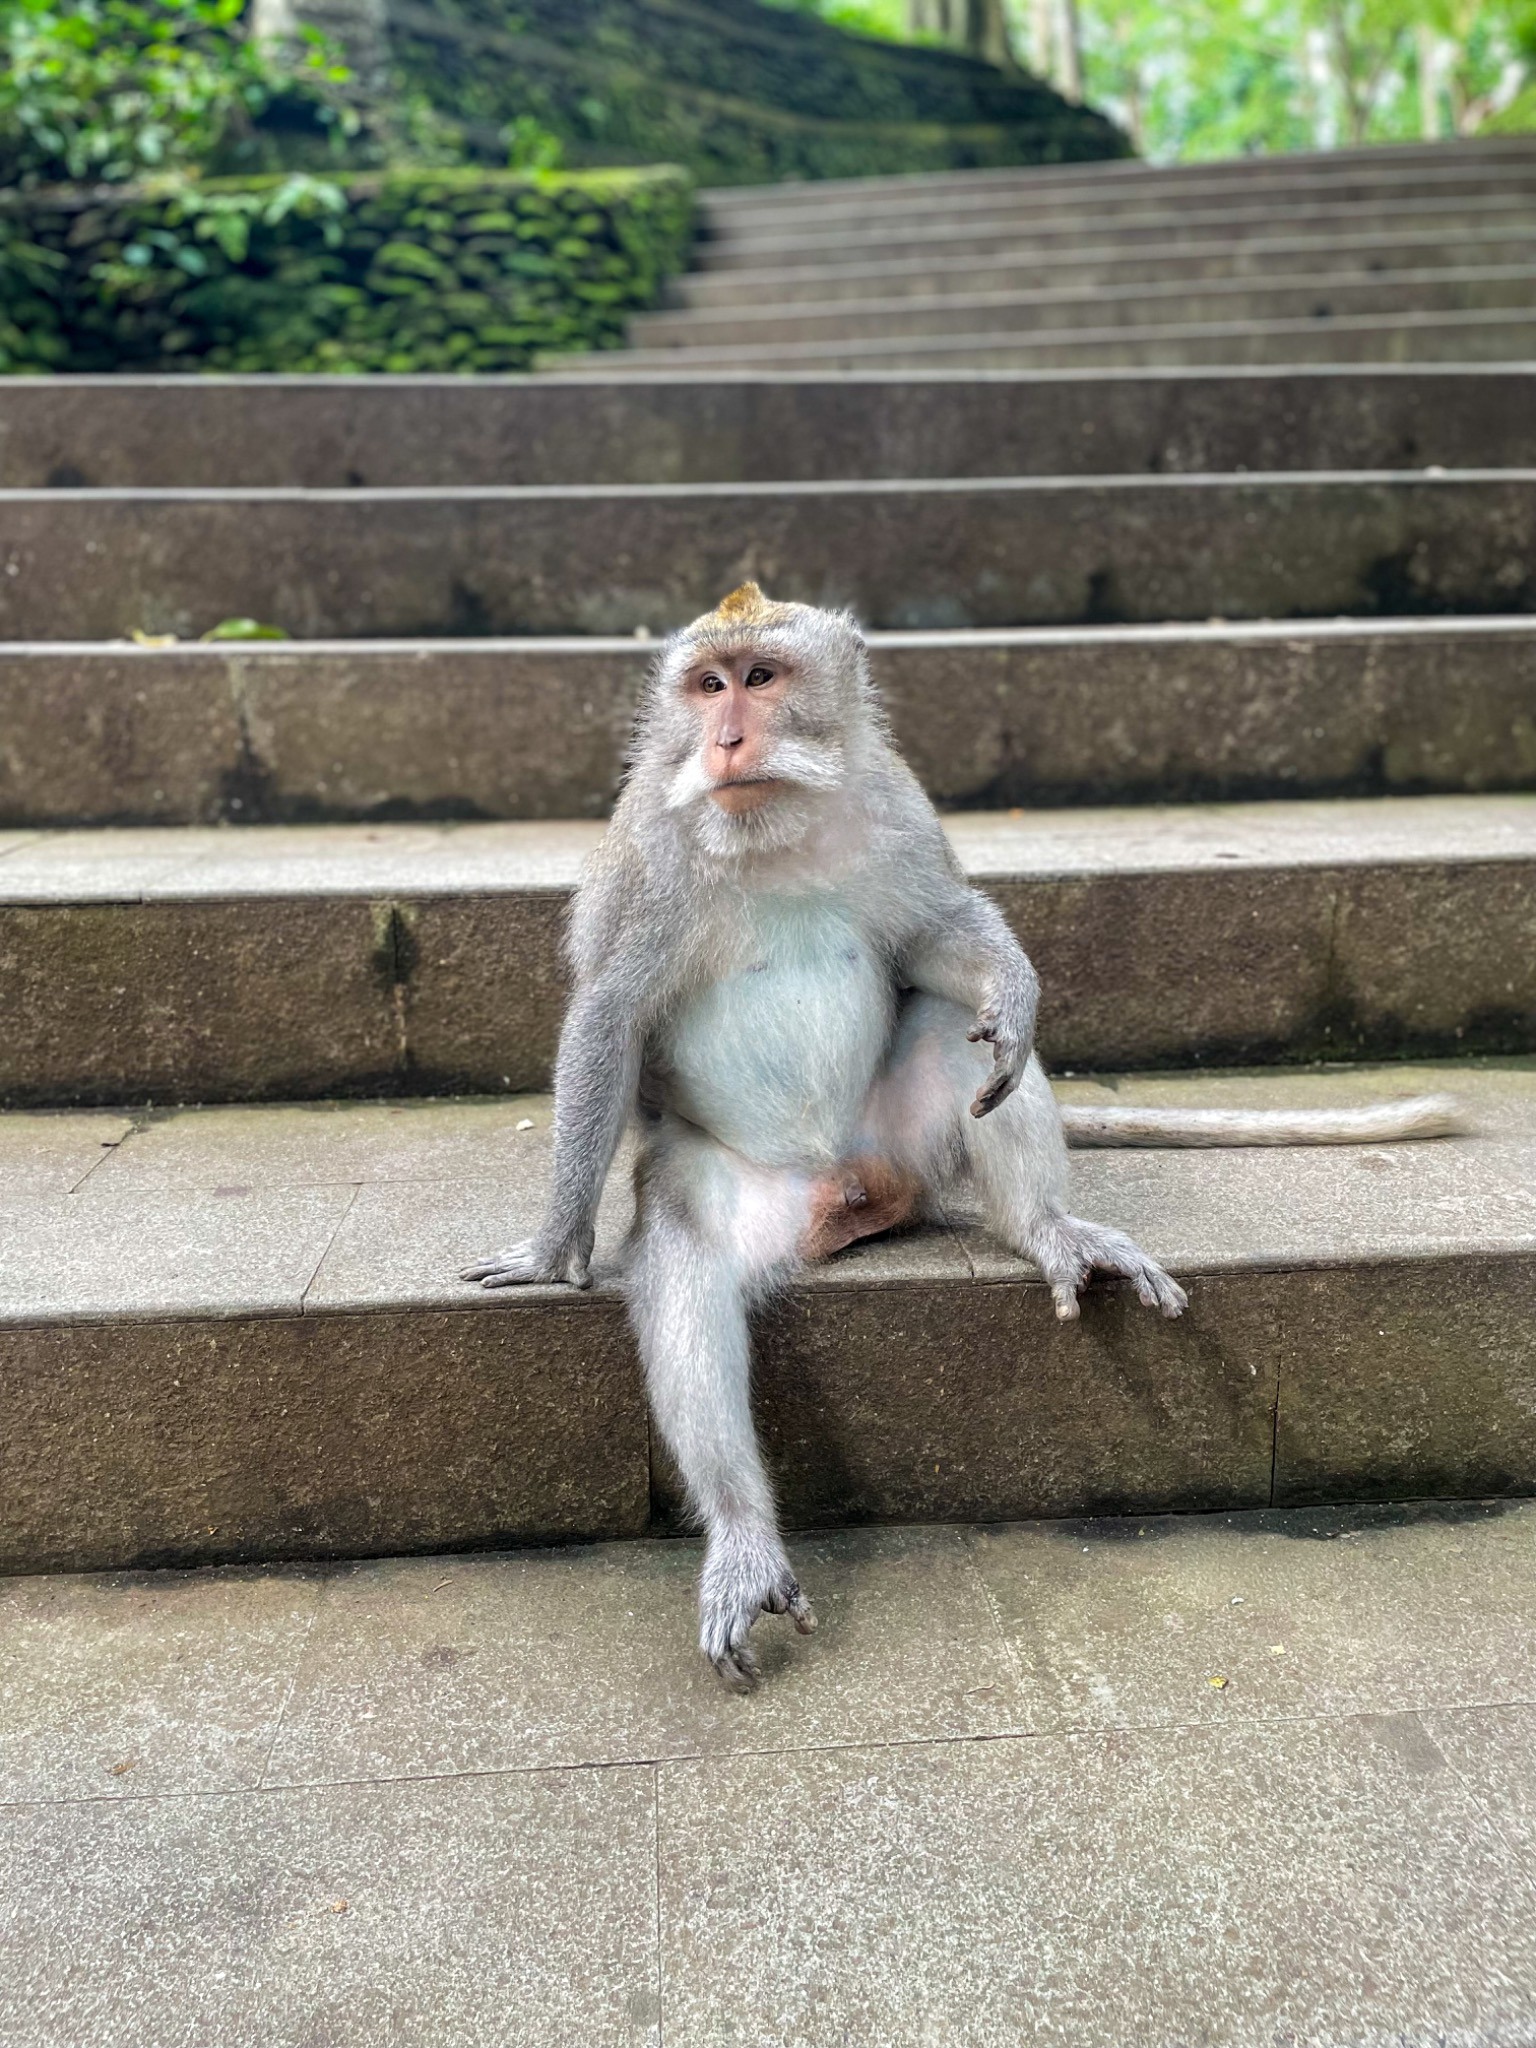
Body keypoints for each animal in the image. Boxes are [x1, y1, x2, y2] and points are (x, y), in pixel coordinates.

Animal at [462, 583, 1461, 1691]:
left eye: (761, 677)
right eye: (706, 686)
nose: (726, 739)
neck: (773, 825)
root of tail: (850, 1187)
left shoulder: (894, 807)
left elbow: (937, 937)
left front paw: (1015, 988)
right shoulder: (647, 854)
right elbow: (611, 1012)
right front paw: (556, 1245)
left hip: (907, 1141)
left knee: (959, 1031)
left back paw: (1047, 1226)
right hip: (746, 1186)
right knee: (684, 1254)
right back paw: (742, 1532)